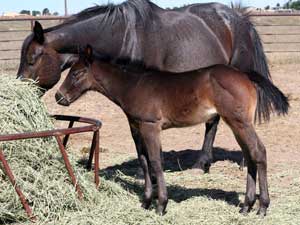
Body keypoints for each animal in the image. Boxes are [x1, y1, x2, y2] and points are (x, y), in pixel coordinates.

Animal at [55, 46, 288, 216]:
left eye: (77, 73)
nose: (59, 97)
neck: (134, 84)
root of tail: (244, 75)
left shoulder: (150, 127)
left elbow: (156, 162)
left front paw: (161, 205)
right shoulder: (136, 127)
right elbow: (144, 162)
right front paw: (146, 202)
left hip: (240, 122)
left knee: (259, 152)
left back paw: (262, 206)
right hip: (235, 124)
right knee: (250, 155)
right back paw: (246, 205)